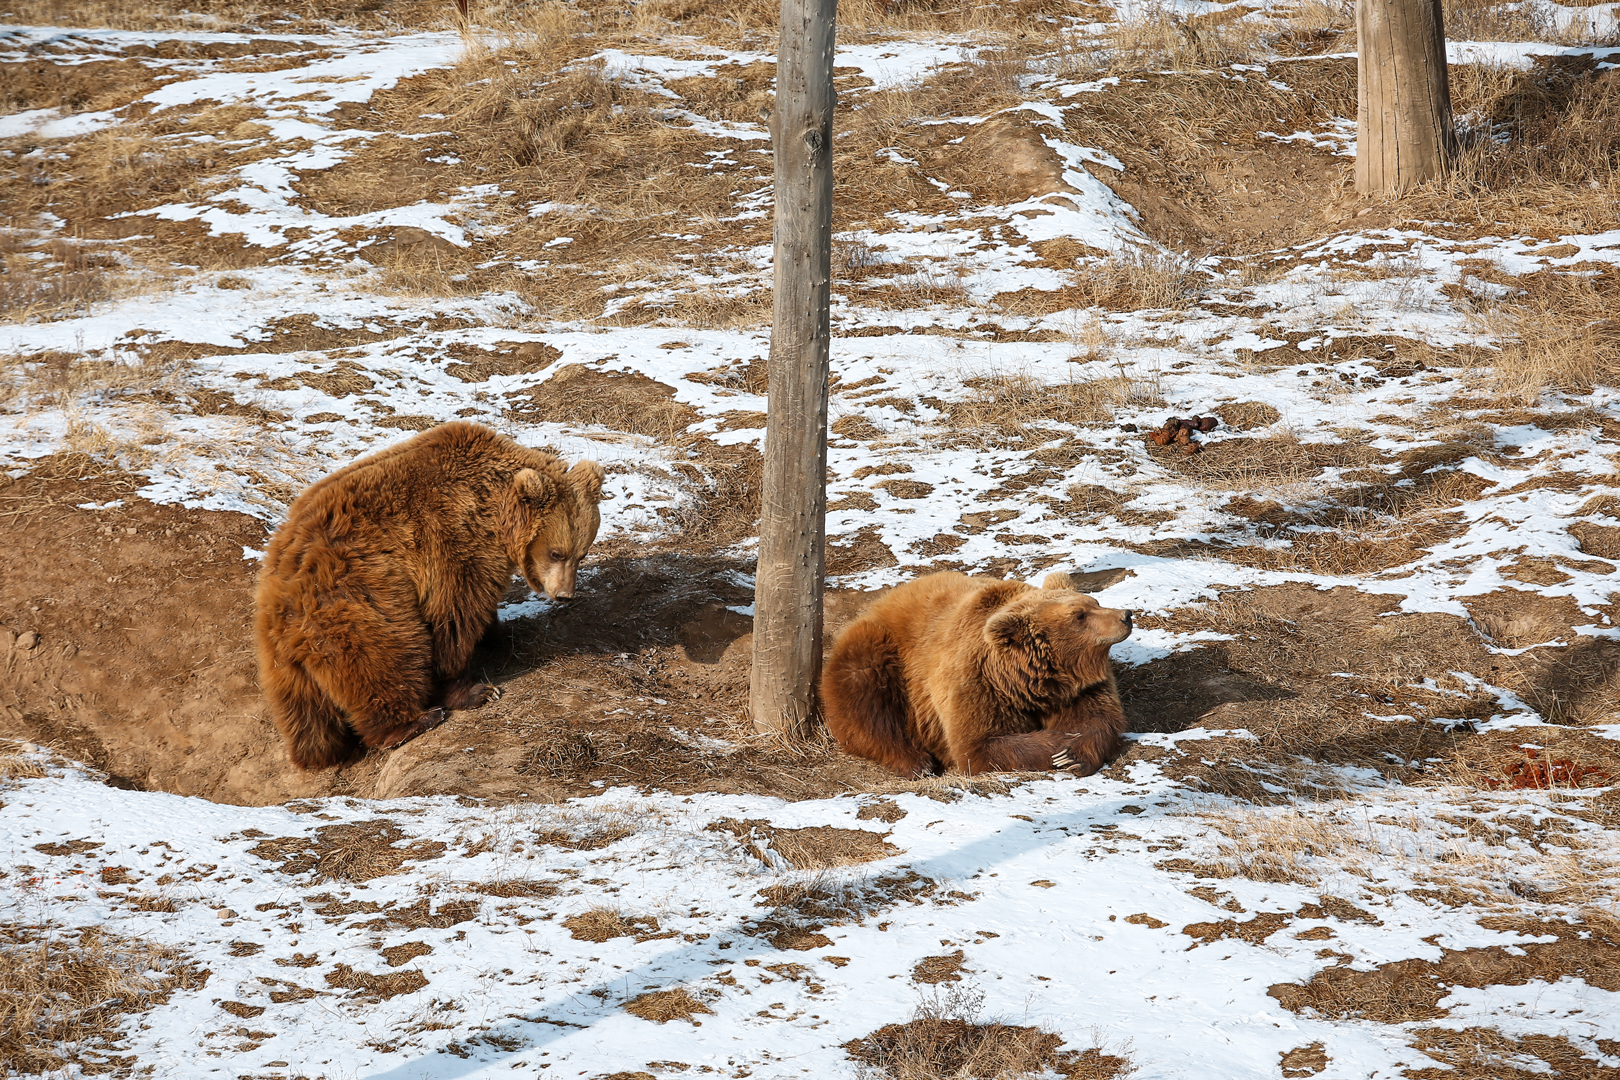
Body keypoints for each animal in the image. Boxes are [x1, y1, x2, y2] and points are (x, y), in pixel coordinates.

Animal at [254, 421, 605, 770]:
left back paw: (318, 751)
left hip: (283, 663)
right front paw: (477, 690)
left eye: (582, 553)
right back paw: (415, 721)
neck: (495, 512)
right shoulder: (451, 541)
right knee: (389, 654)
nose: (564, 595)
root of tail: (279, 598)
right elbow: (454, 617)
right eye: (556, 552)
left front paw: (498, 634)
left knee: (305, 713)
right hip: (357, 601)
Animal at [820, 570, 1132, 778]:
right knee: (869, 704)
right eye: (1079, 615)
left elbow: (1100, 719)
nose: (1125, 615)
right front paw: (1060, 743)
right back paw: (915, 762)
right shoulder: (977, 684)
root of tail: (877, 603)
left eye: (1093, 602)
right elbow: (980, 746)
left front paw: (1073, 754)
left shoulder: (1080, 688)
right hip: (880, 654)